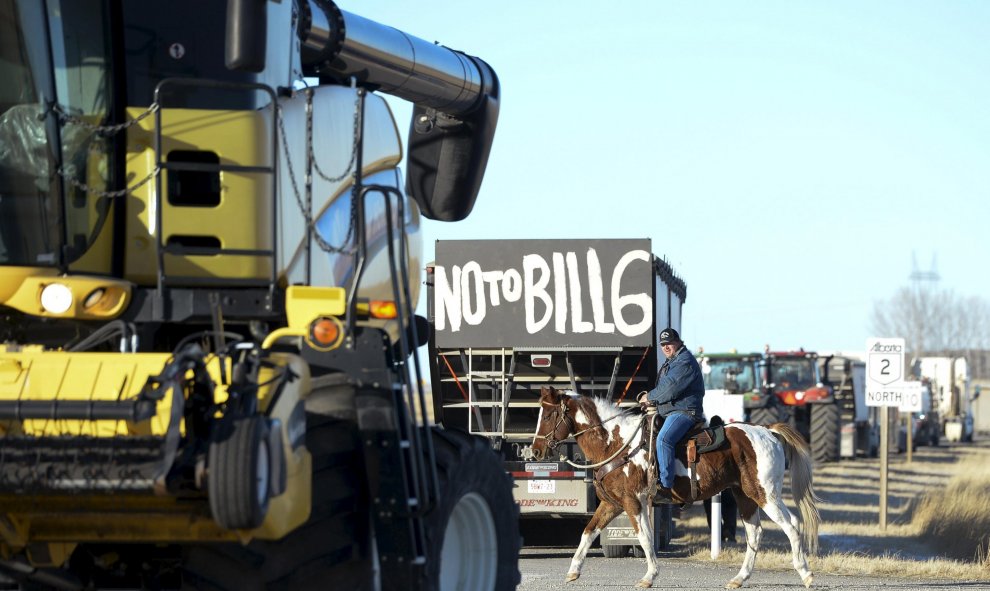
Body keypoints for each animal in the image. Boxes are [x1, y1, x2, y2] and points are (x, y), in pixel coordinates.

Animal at [532, 386, 824, 588]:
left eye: (549, 414)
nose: (535, 450)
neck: (617, 443)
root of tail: (767, 431)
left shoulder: (633, 503)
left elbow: (644, 538)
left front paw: (649, 576)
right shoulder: (611, 503)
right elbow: (588, 531)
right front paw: (573, 570)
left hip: (765, 494)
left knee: (792, 526)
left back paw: (806, 575)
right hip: (744, 496)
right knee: (755, 533)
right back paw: (739, 578)